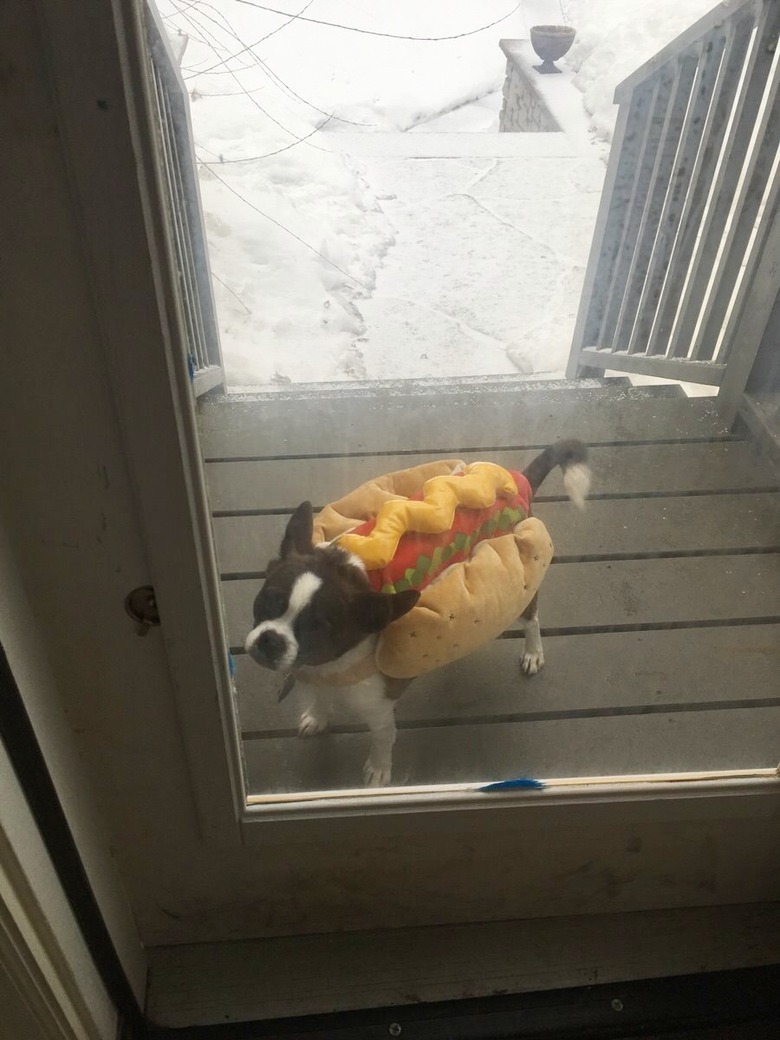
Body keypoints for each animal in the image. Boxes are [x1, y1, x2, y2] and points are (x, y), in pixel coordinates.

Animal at [247, 440, 590, 786]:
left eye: (318, 629)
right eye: (267, 599)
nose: (271, 640)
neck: (327, 667)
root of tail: (517, 481)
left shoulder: (379, 711)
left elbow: (382, 740)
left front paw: (378, 770)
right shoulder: (311, 678)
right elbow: (317, 699)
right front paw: (316, 717)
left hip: (520, 583)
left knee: (532, 620)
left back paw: (533, 653)